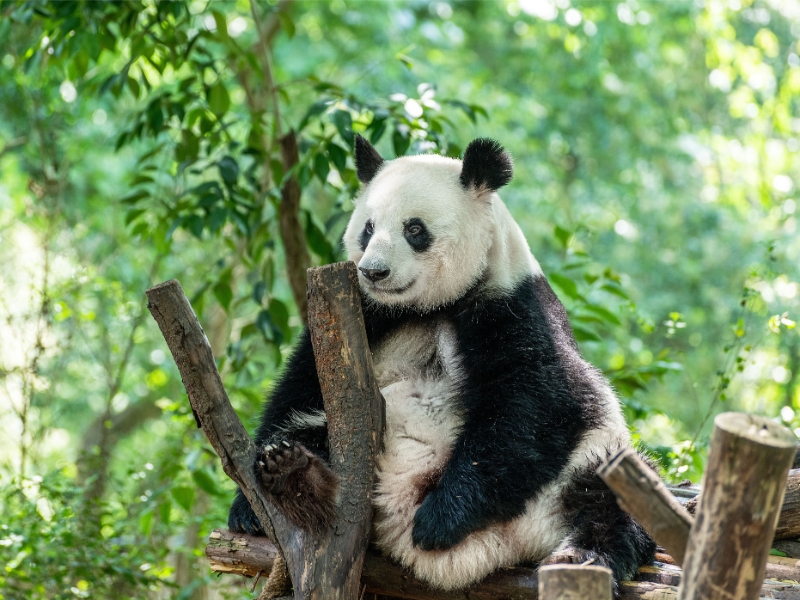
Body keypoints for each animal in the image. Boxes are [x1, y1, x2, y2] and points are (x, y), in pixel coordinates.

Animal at [228, 135, 656, 591]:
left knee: (612, 499)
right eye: (368, 228)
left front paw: (439, 520)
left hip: (579, 470)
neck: (426, 307)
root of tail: (498, 549)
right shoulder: (361, 316)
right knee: (313, 432)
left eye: (414, 229)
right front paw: (249, 506)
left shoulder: (512, 305)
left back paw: (582, 556)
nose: (373, 272)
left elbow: (543, 404)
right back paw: (293, 472)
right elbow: (298, 388)